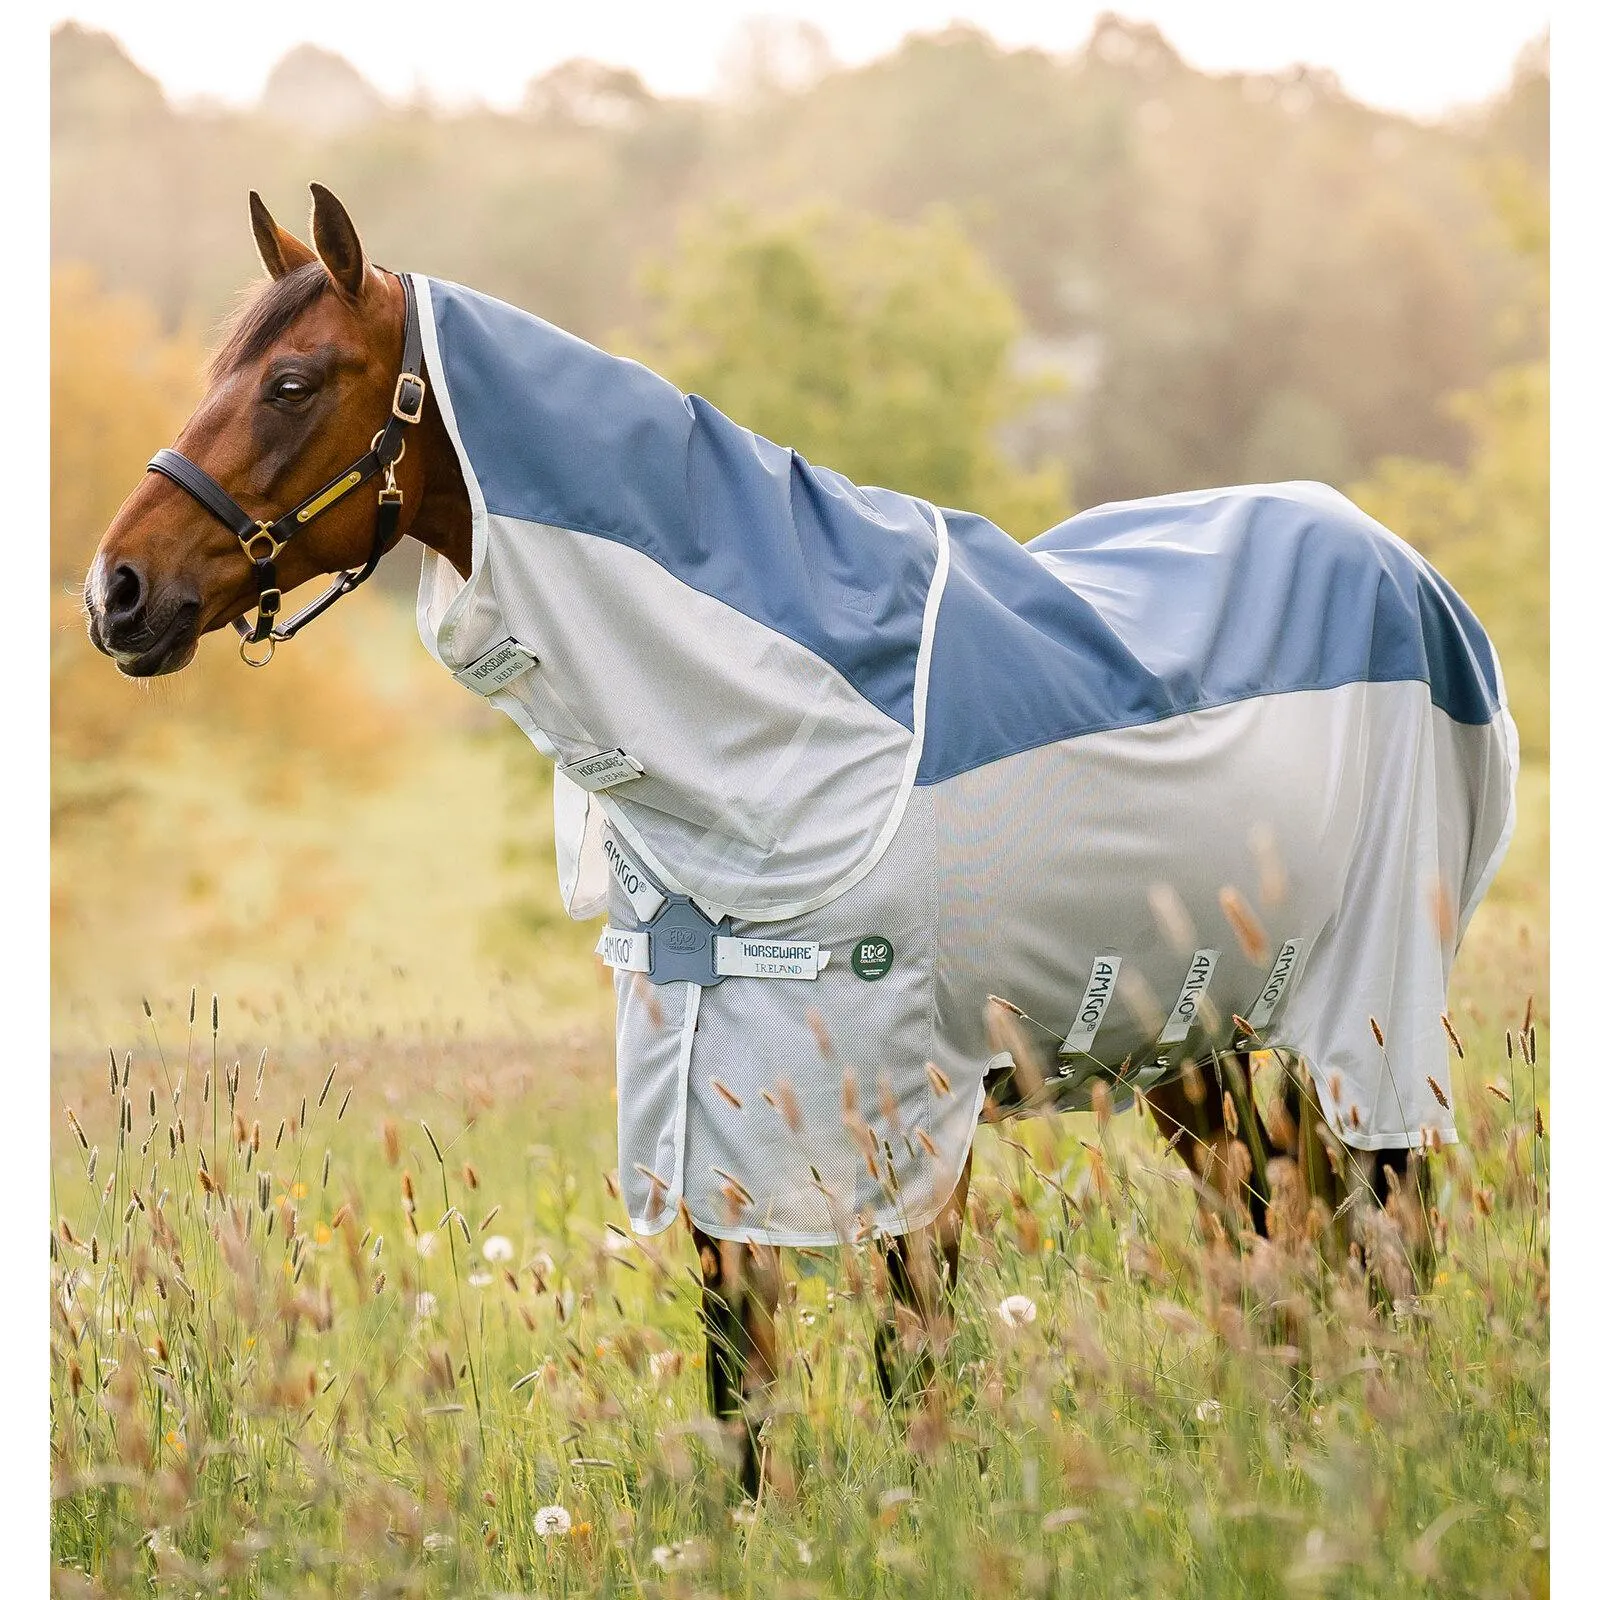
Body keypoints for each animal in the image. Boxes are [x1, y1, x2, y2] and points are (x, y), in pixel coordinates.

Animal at [84, 185, 1518, 1498]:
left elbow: (911, 1354)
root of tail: (1400, 568)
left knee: (1381, 1219)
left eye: (290, 381)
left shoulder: (910, 1115)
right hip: (1196, 1035)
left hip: (1358, 1018)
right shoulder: (711, 1107)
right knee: (1274, 1224)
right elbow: (743, 1379)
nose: (117, 593)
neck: (771, 738)